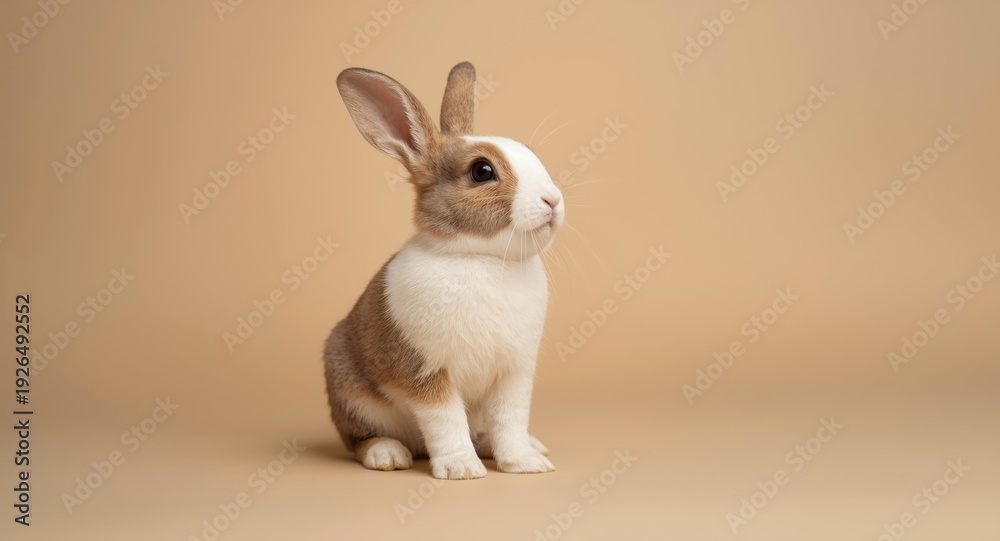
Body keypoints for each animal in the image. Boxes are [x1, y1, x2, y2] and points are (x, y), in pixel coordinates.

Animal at [324, 62, 564, 480]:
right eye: (482, 171)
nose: (553, 200)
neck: (479, 257)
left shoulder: (514, 374)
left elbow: (511, 420)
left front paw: (525, 464)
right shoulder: (426, 372)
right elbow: (445, 420)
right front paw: (461, 469)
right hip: (349, 392)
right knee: (359, 439)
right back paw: (387, 455)